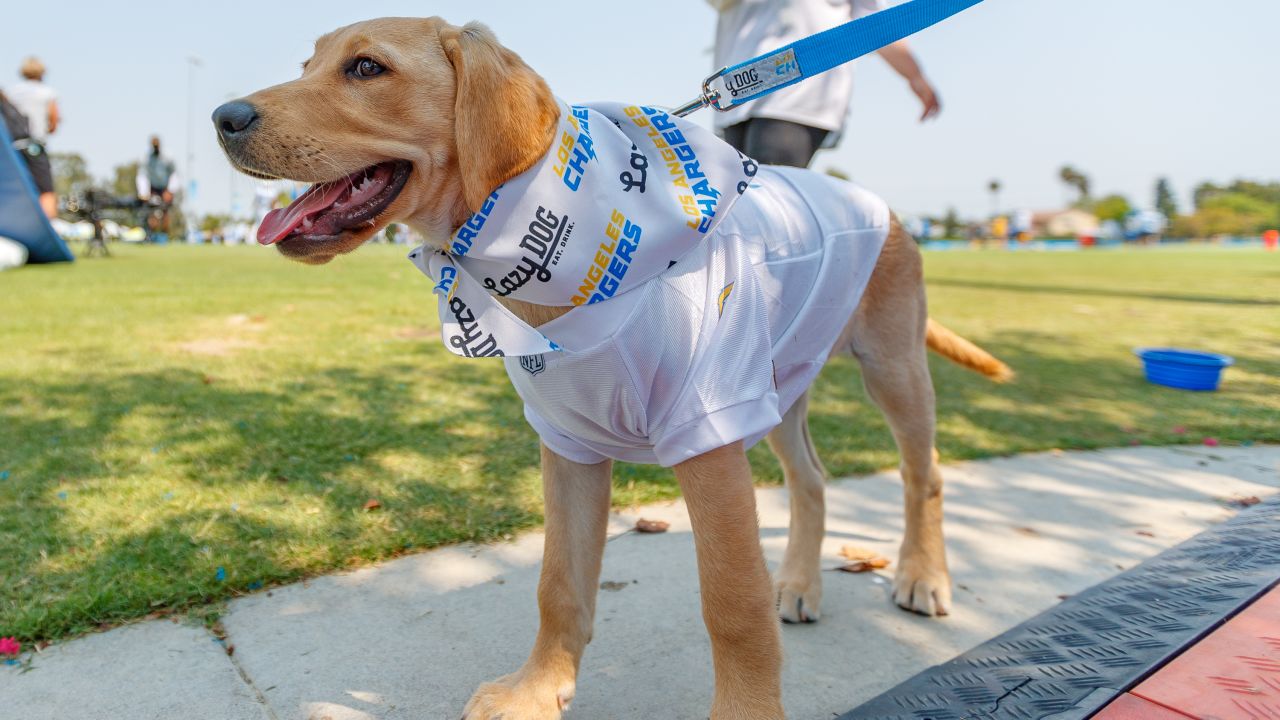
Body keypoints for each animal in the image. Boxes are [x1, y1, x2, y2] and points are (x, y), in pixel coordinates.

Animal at [212, 16, 1008, 717]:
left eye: (366, 68)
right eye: (310, 63)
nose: (224, 115)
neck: (531, 252)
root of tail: (878, 202)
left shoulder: (709, 437)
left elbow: (732, 603)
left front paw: (745, 709)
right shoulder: (568, 443)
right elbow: (558, 584)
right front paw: (537, 691)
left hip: (890, 371)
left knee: (924, 475)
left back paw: (921, 576)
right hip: (776, 383)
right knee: (810, 480)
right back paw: (802, 584)